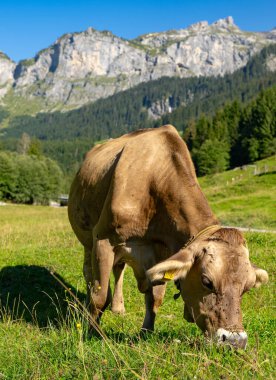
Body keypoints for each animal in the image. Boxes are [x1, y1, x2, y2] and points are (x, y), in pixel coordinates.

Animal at [68, 124, 268, 348]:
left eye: (247, 287)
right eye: (207, 281)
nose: (235, 340)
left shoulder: (161, 253)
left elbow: (155, 298)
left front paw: (145, 332)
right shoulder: (104, 238)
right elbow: (100, 296)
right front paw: (92, 332)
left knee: (119, 269)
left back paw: (119, 308)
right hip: (88, 240)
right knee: (89, 273)